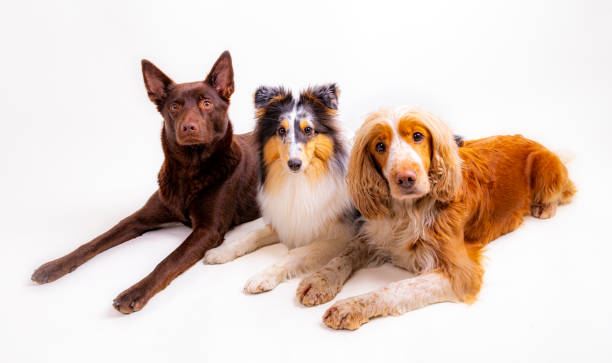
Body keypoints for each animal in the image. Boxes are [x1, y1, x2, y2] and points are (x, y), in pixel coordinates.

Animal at [32, 49, 260, 314]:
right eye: (174, 106)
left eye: (207, 103)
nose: (188, 127)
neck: (189, 170)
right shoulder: (139, 218)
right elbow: (95, 241)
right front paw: (54, 265)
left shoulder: (208, 230)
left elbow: (169, 260)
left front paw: (136, 292)